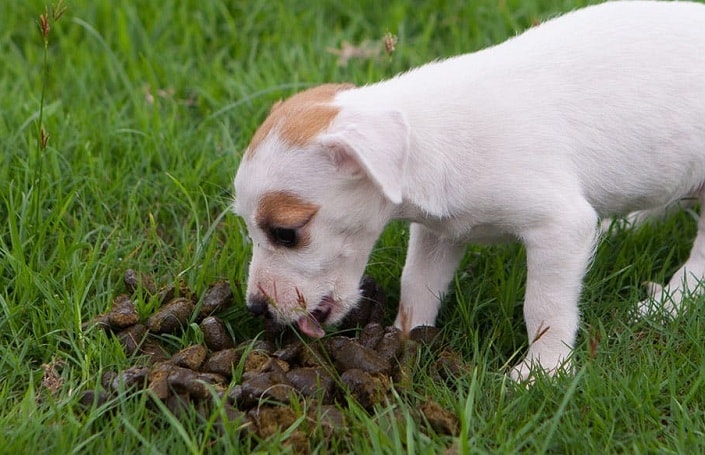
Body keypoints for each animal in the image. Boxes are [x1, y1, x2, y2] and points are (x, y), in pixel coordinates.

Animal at [234, 0, 704, 382]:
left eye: (286, 233)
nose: (255, 308)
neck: (429, 135)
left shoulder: (560, 227)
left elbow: (544, 306)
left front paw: (542, 371)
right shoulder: (438, 233)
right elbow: (417, 284)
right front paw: (401, 338)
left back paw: (671, 299)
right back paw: (626, 226)